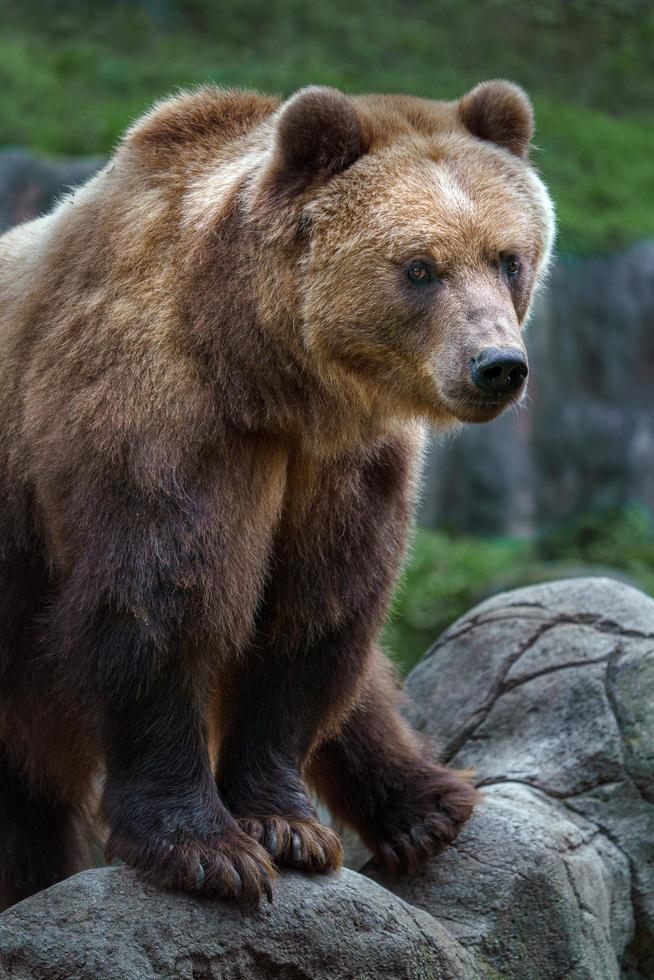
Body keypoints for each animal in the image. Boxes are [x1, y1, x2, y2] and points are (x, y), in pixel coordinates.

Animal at [0, 80, 552, 908]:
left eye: (508, 257)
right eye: (420, 268)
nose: (497, 365)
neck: (273, 382)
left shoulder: (344, 466)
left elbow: (312, 620)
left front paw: (288, 827)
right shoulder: (160, 417)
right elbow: (164, 604)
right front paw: (207, 851)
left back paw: (423, 807)